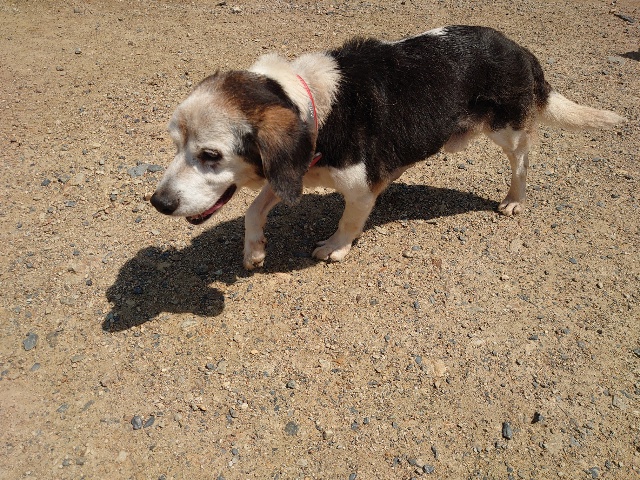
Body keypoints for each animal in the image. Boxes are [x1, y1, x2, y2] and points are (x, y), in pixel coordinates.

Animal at [150, 25, 624, 270]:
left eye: (210, 155)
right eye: (175, 144)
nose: (158, 202)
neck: (313, 105)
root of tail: (522, 51)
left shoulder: (357, 190)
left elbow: (347, 221)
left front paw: (335, 247)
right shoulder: (292, 170)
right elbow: (252, 210)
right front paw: (254, 250)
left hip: (506, 130)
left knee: (523, 159)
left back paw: (514, 198)